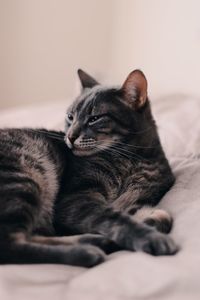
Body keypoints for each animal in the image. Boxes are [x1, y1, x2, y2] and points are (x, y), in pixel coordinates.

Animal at [0, 69, 178, 266]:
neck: (131, 160)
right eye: (70, 117)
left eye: (95, 118)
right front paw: (150, 237)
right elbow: (114, 219)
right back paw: (87, 252)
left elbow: (157, 216)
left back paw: (96, 241)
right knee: (9, 245)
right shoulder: (77, 198)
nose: (70, 136)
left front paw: (150, 221)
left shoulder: (140, 200)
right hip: (23, 177)